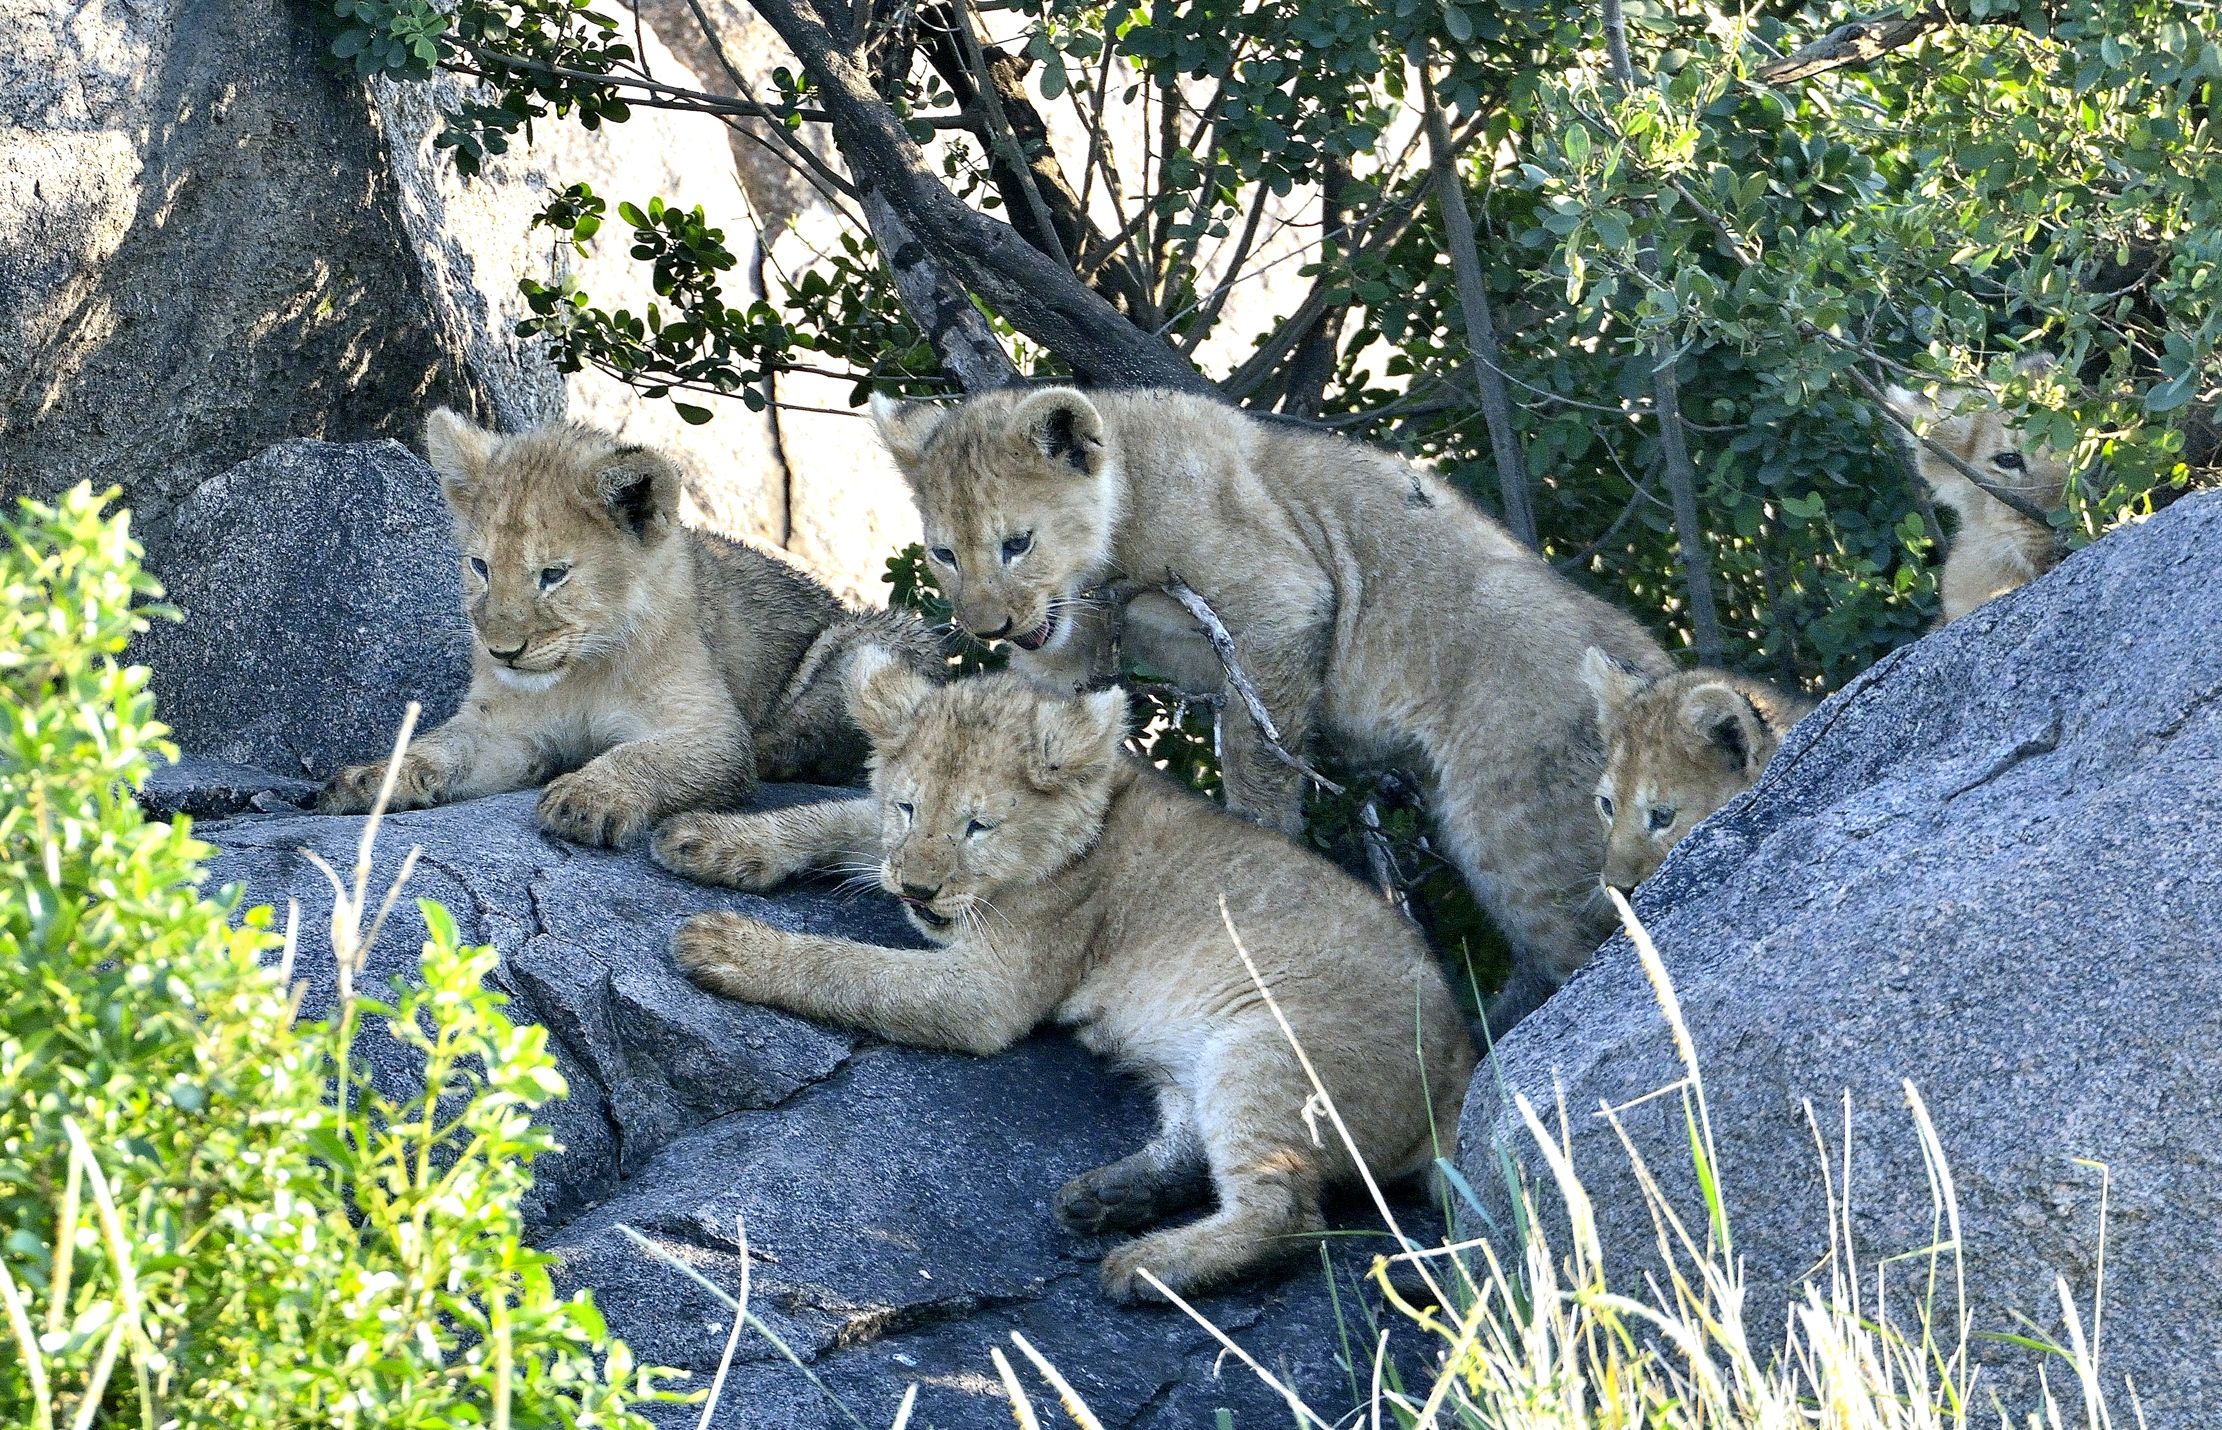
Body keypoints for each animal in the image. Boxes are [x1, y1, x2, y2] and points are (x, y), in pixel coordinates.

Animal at [316, 409, 943, 845]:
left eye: (553, 575)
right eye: (480, 566)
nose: (502, 652)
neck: (580, 671)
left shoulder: (710, 729)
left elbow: (648, 756)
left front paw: (587, 797)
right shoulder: (506, 728)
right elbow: (436, 748)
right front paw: (368, 780)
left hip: (885, 633)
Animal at [651, 659, 1477, 1303]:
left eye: (978, 826)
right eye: (909, 806)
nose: (916, 891)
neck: (1096, 810)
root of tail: (1462, 1067)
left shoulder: (988, 995)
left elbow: (853, 967)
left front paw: (724, 944)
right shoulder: (884, 844)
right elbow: (830, 817)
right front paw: (705, 839)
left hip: (1271, 1041)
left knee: (1288, 1213)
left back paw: (1147, 1267)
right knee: (1195, 1146)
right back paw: (1108, 1198)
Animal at [869, 386, 1670, 1031]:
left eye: (1017, 543)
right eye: (944, 554)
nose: (987, 628)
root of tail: (1658, 679)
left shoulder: (1281, 601)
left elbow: (1259, 758)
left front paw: (1259, 844)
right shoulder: (1065, 649)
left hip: (1513, 825)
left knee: (1584, 933)